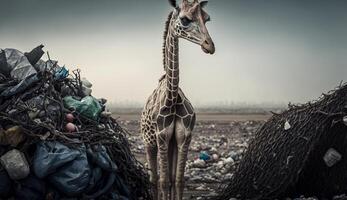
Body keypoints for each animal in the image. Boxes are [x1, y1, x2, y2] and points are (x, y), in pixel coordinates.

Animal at [141, 0, 215, 199]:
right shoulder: (161, 136)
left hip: (172, 144)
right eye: (185, 19)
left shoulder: (184, 137)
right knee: (154, 178)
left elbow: (178, 181)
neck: (172, 99)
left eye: (207, 18)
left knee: (169, 177)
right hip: (149, 141)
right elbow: (164, 181)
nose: (210, 46)